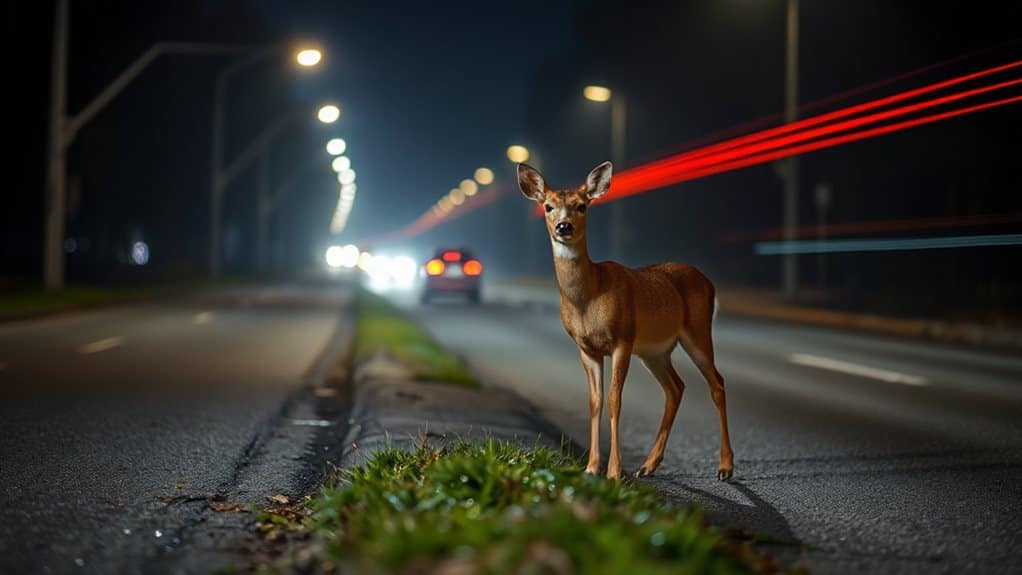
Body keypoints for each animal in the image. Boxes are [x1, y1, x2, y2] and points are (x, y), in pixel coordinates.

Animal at [517, 161, 734, 481]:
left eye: (581, 206)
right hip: (654, 351)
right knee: (676, 387)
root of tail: (709, 282)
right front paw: (591, 466)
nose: (563, 226)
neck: (588, 297)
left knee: (716, 383)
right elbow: (594, 401)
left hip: (697, 331)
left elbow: (614, 400)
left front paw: (614, 471)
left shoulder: (622, 338)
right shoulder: (586, 348)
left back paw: (725, 467)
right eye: (548, 206)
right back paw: (648, 464)